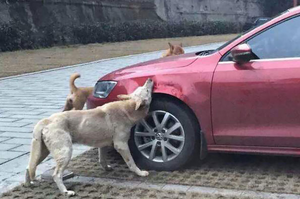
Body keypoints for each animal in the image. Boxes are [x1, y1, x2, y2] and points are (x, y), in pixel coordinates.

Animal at [24, 78, 154, 196]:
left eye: (143, 87)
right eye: (147, 90)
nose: (150, 79)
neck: (127, 108)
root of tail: (47, 120)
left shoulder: (103, 144)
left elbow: (102, 159)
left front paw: (106, 168)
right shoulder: (121, 145)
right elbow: (131, 162)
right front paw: (140, 173)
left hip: (41, 152)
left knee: (29, 167)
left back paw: (28, 184)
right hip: (65, 152)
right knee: (56, 175)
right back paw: (65, 191)